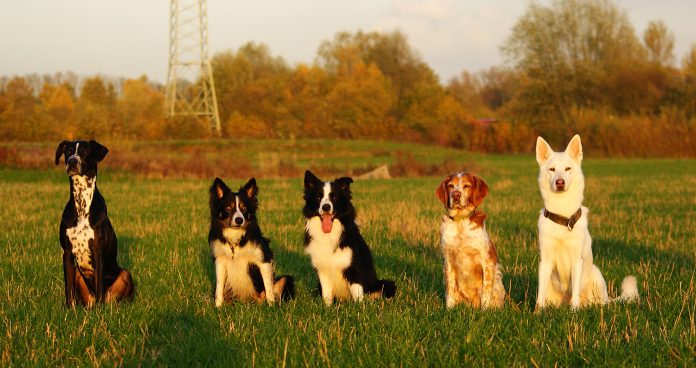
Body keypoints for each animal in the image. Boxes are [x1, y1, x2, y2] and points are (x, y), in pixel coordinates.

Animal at [55, 141, 134, 308]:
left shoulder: (98, 252)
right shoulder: (67, 252)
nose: (72, 161)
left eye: (85, 152)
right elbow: (68, 287)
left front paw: (99, 310)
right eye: (68, 151)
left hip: (125, 274)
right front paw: (69, 308)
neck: (82, 203)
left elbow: (99, 285)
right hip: (78, 275)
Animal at [207, 177, 294, 306]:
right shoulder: (220, 261)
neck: (236, 238)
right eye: (228, 208)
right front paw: (218, 306)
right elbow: (219, 288)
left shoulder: (263, 261)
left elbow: (268, 287)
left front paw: (271, 305)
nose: (239, 220)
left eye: (244, 208)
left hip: (285, 279)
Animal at [302, 171, 394, 304]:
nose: (326, 207)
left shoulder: (354, 267)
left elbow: (357, 293)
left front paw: (360, 307)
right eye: (318, 197)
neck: (329, 234)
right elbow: (326, 294)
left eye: (334, 198)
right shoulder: (322, 270)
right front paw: (327, 307)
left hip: (386, 284)